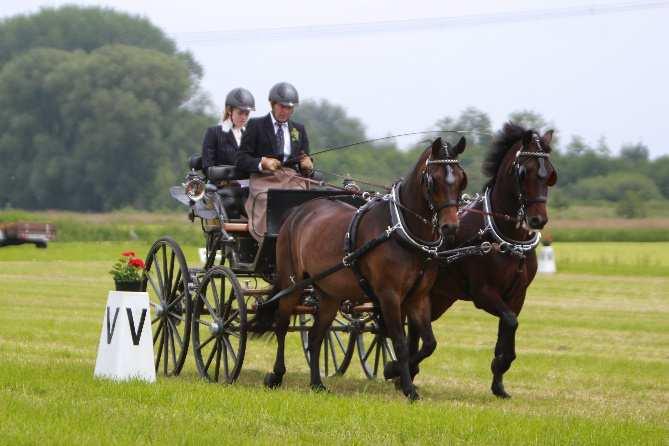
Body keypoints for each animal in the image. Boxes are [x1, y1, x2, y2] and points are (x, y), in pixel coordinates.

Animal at [253, 137, 468, 400]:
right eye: (433, 180)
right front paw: (406, 386)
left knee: (315, 336)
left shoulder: (418, 297)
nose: (450, 227)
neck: (401, 229)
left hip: (329, 294)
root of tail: (298, 211)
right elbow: (400, 342)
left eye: (461, 179)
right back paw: (276, 375)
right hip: (292, 283)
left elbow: (429, 343)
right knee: (282, 325)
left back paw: (316, 383)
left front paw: (394, 371)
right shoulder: (389, 296)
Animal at [404, 122, 556, 398]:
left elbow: (509, 325)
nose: (538, 220)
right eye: (524, 172)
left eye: (549, 173)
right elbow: (510, 321)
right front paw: (501, 365)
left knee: (416, 327)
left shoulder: (517, 295)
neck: (506, 238)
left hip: (439, 296)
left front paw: (499, 382)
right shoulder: (483, 293)